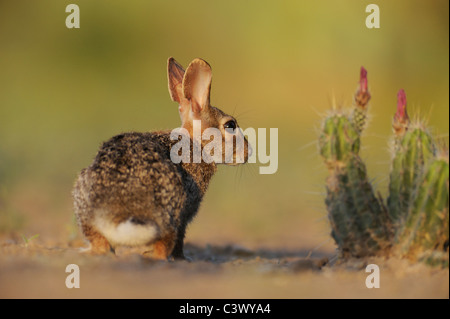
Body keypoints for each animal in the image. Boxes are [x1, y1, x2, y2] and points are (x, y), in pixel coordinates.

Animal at [72, 57, 251, 262]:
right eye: (230, 125)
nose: (248, 152)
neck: (197, 143)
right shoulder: (187, 210)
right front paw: (183, 259)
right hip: (173, 209)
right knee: (164, 246)